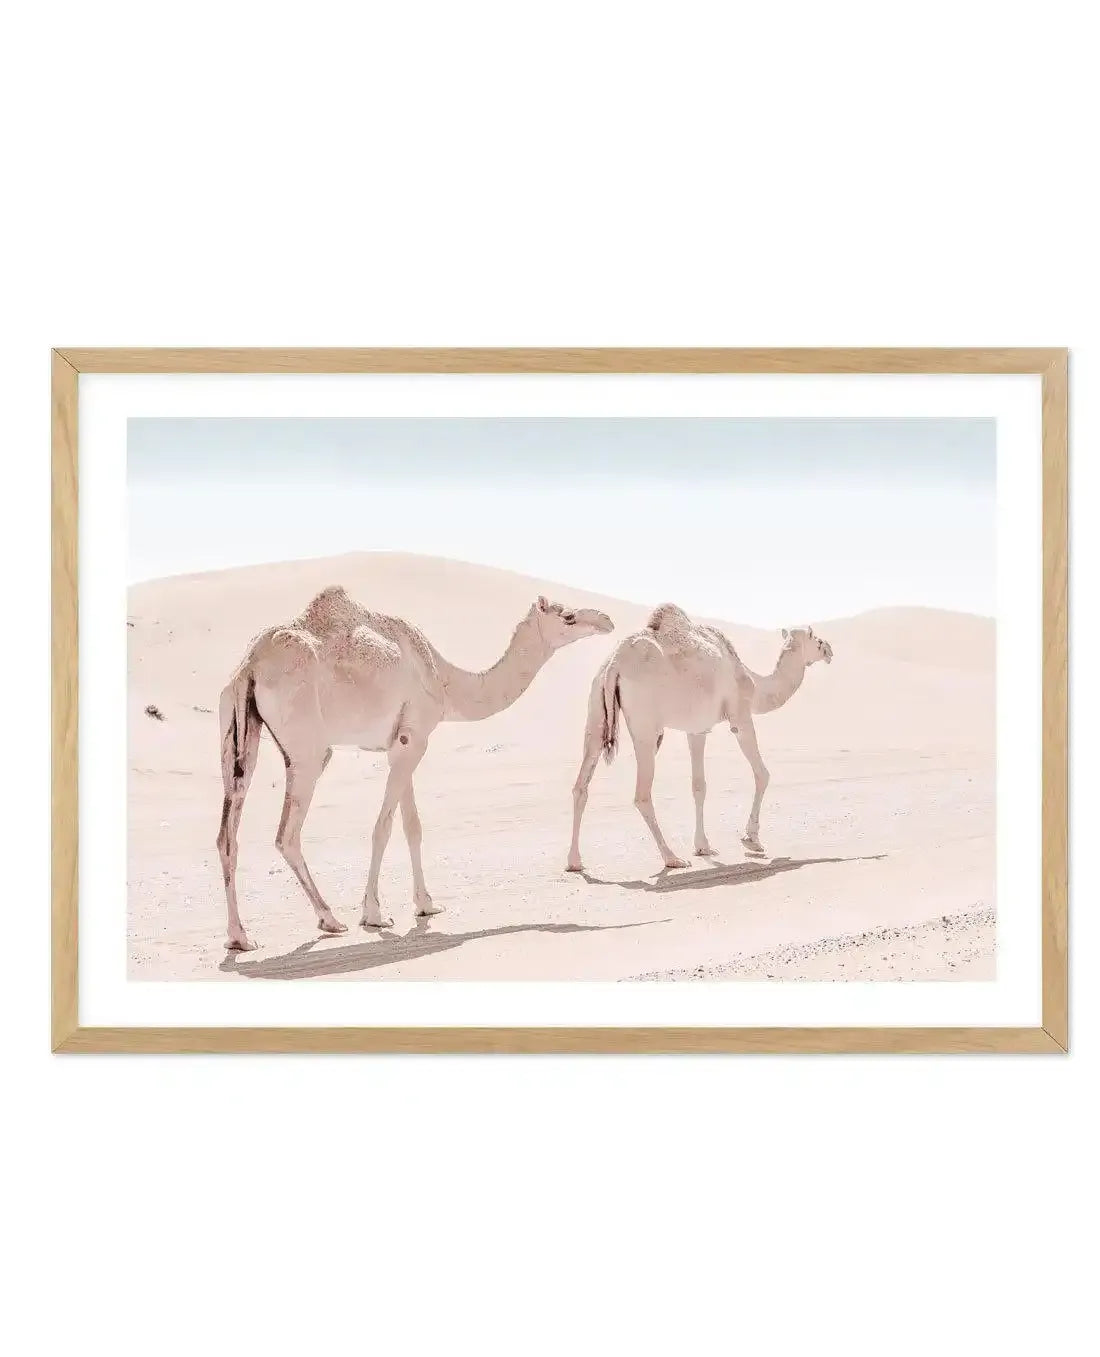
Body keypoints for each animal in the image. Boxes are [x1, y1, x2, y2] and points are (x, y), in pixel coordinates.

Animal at [216, 586, 613, 950]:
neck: (445, 680)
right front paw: (374, 915)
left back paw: (240, 937)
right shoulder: (414, 739)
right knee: (287, 833)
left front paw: (426, 904)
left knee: (227, 834)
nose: (607, 621)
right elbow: (384, 827)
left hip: (236, 730)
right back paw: (329, 919)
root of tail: (250, 666)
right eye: (567, 616)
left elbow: (412, 826)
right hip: (309, 749)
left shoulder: (403, 741)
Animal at [566, 604, 832, 872]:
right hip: (645, 726)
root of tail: (614, 664)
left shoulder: (697, 730)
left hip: (596, 706)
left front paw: (703, 846)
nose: (830, 650)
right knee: (641, 794)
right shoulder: (740, 716)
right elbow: (762, 774)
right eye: (817, 640)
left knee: (581, 785)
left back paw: (575, 861)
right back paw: (672, 858)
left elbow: (698, 786)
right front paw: (752, 840)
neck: (755, 684)